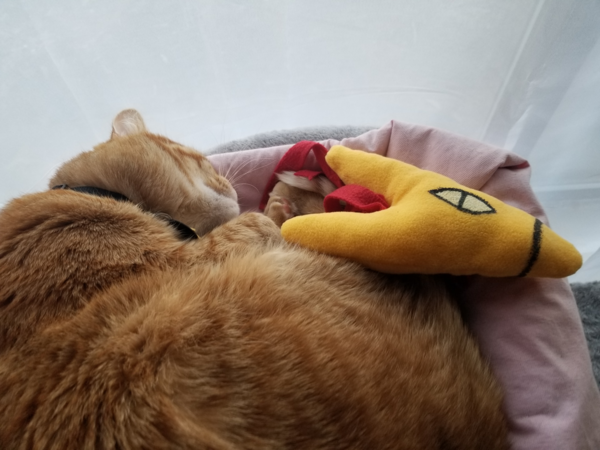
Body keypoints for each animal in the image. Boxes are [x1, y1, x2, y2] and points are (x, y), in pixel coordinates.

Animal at [0, 110, 506, 450]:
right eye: (202, 161)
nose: (229, 184)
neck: (98, 198)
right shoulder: (197, 254)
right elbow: (259, 222)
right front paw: (286, 196)